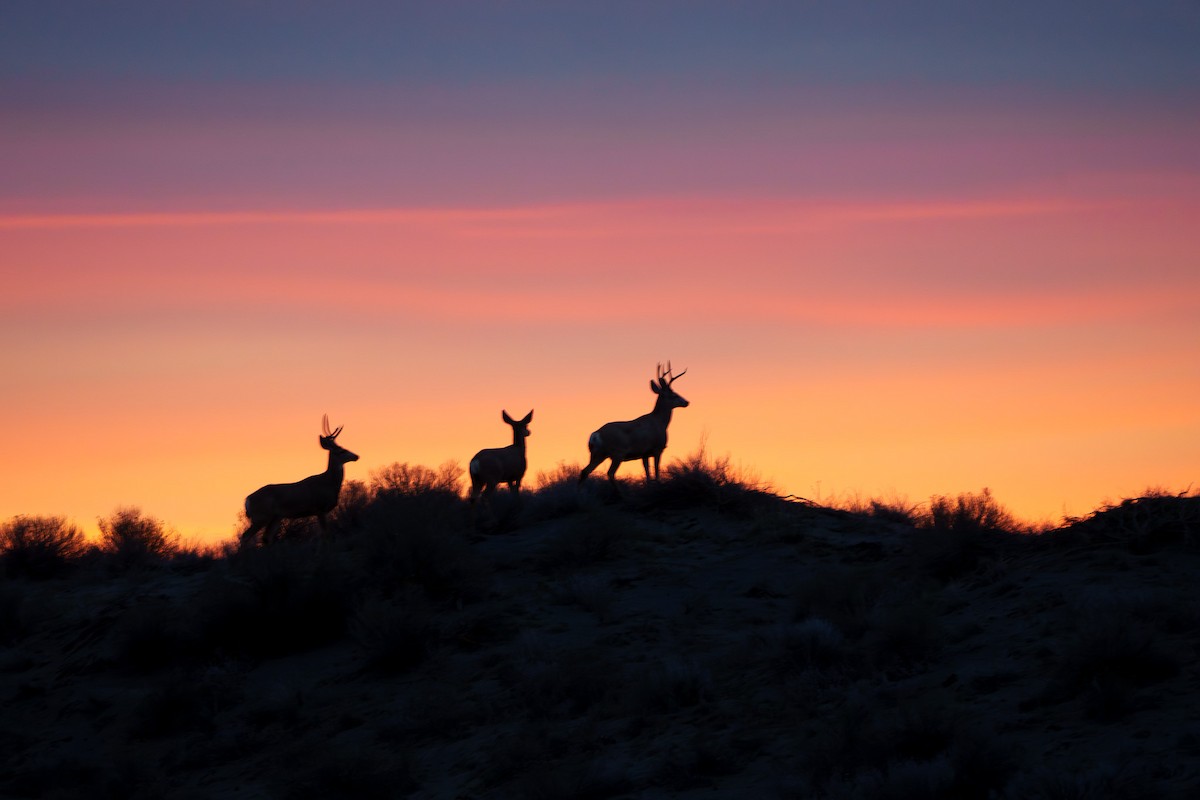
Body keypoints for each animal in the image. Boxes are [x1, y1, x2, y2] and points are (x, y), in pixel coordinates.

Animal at [242, 415, 359, 545]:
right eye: (341, 450)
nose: (356, 456)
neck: (328, 482)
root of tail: (247, 500)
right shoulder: (320, 508)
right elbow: (326, 534)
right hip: (261, 516)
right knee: (245, 536)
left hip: (275, 517)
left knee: (266, 538)